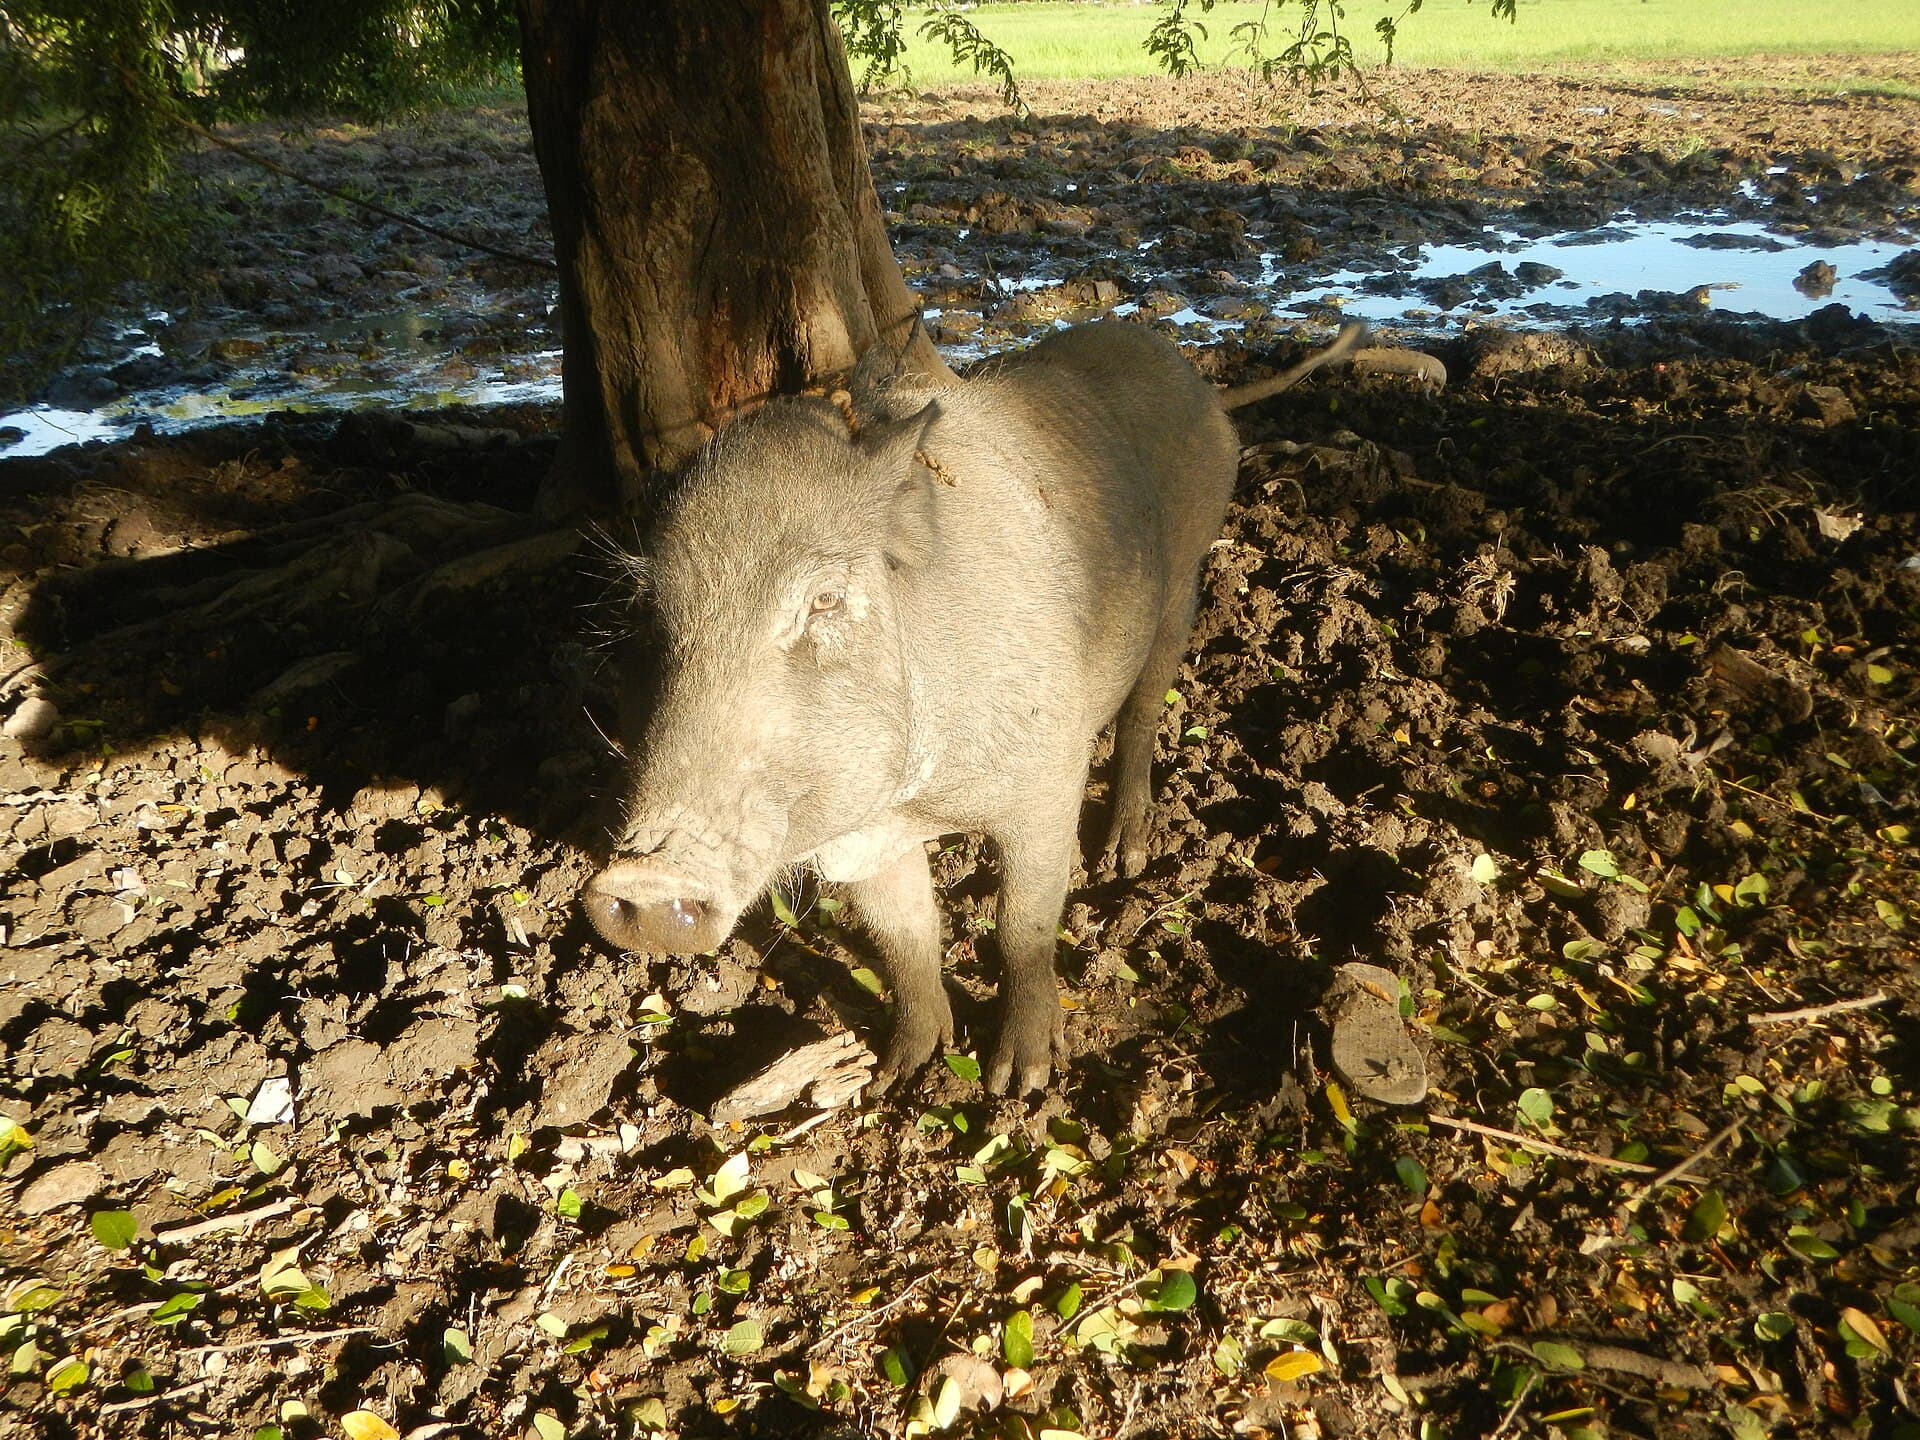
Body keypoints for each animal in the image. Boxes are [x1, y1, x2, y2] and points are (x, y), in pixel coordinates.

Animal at [583, 319, 1359, 1095]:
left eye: (825, 599)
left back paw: (1123, 859)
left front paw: (1020, 1083)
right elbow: (905, 937)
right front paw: (897, 1074)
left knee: (1144, 713)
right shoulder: (864, 836)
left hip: (1185, 579)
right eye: (651, 613)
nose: (642, 880)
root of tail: (1197, 383)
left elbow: (1024, 925)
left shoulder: (1048, 774)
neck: (920, 804)